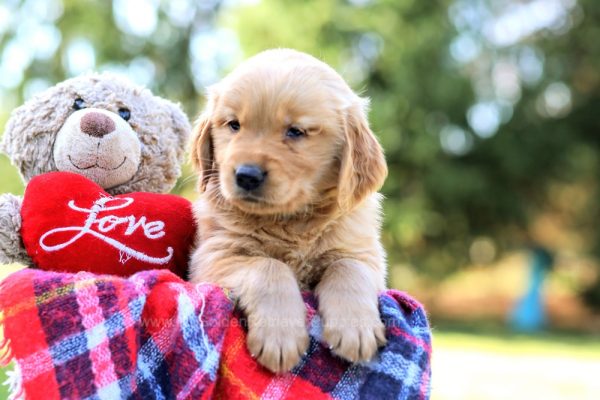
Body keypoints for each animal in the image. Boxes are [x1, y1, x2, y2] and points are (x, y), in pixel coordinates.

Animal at [190, 49, 392, 372]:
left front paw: (355, 329)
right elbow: (268, 266)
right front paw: (280, 335)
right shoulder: (213, 257)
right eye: (234, 125)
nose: (246, 176)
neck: (292, 221)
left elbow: (348, 267)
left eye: (296, 131)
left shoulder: (365, 255)